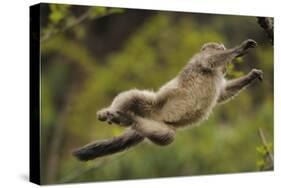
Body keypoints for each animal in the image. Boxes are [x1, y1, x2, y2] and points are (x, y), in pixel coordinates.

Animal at [72, 39, 262, 161]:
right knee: (133, 96)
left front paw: (251, 76)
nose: (226, 68)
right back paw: (108, 112)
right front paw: (239, 49)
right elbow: (208, 60)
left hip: (156, 124)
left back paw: (128, 119)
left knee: (166, 136)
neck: (215, 74)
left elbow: (223, 94)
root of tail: (150, 117)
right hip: (152, 106)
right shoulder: (200, 61)